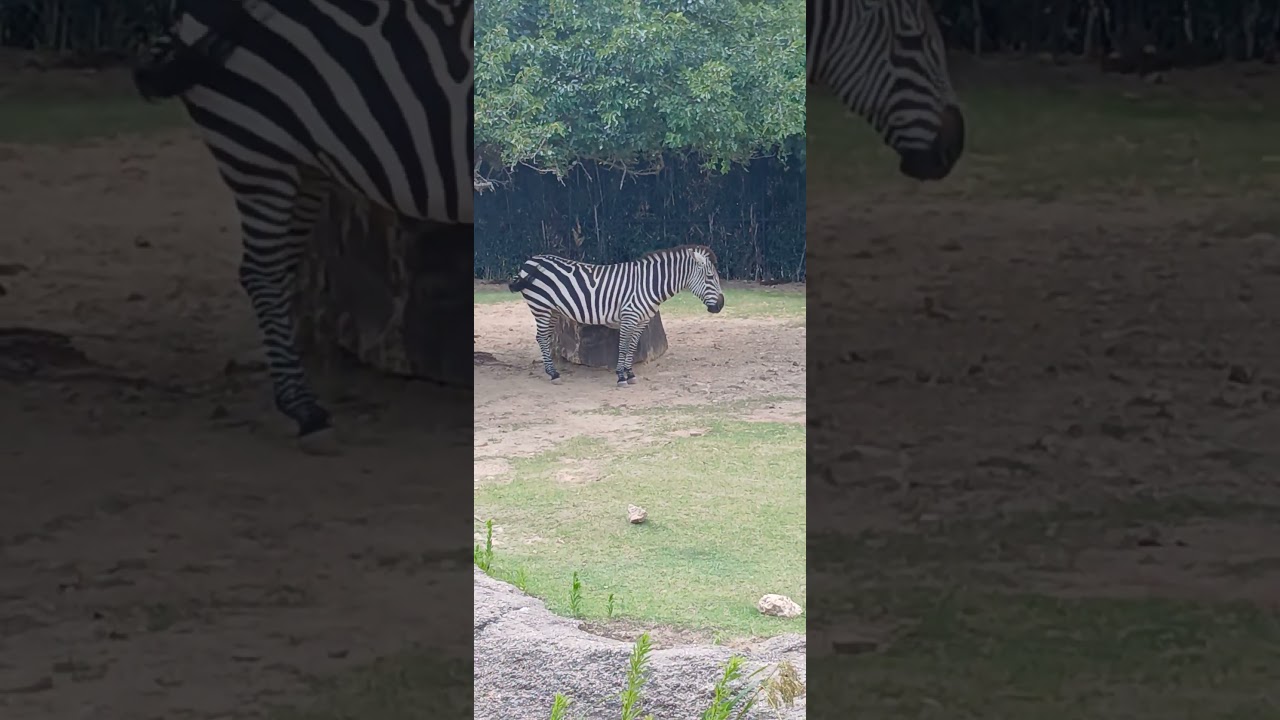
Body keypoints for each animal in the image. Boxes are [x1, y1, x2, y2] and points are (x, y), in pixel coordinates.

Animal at [508, 245, 725, 387]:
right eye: (710, 277)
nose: (721, 305)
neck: (648, 284)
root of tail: (531, 261)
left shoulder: (642, 321)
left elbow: (631, 347)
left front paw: (630, 373)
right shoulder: (629, 317)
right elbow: (623, 347)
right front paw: (621, 376)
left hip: (552, 309)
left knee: (543, 337)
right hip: (540, 306)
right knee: (541, 338)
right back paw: (553, 374)